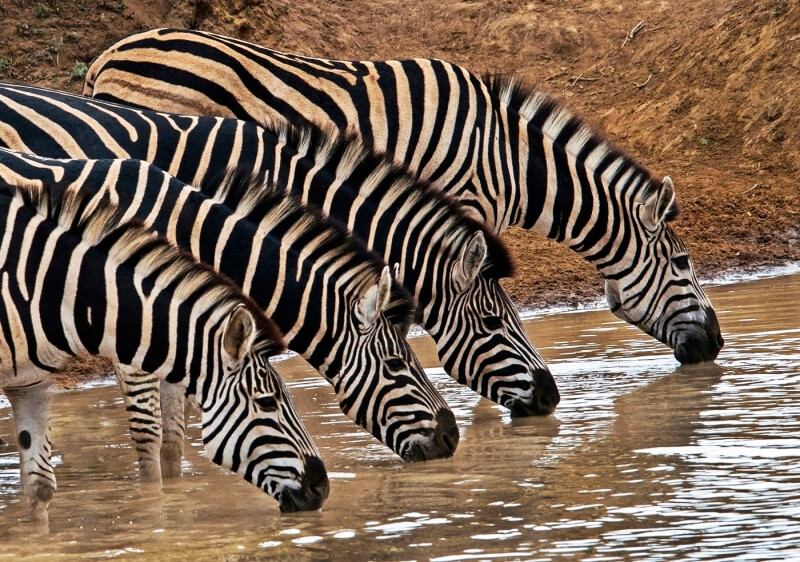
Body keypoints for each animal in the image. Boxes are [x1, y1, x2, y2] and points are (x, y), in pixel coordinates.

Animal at [0, 145, 456, 472]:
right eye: (396, 364)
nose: (451, 438)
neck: (185, 235)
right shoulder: (138, 343)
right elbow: (149, 441)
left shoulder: (182, 334)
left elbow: (173, 442)